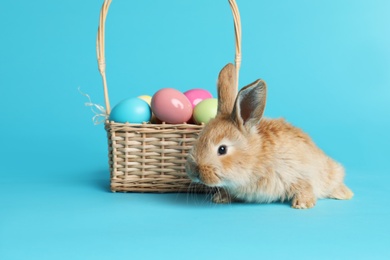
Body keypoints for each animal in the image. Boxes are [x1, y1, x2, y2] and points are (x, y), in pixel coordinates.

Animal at [186, 63, 354, 209]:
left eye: (222, 149)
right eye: (198, 139)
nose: (194, 171)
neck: (255, 157)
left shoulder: (298, 172)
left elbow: (306, 186)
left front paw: (302, 204)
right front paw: (220, 198)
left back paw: (345, 194)